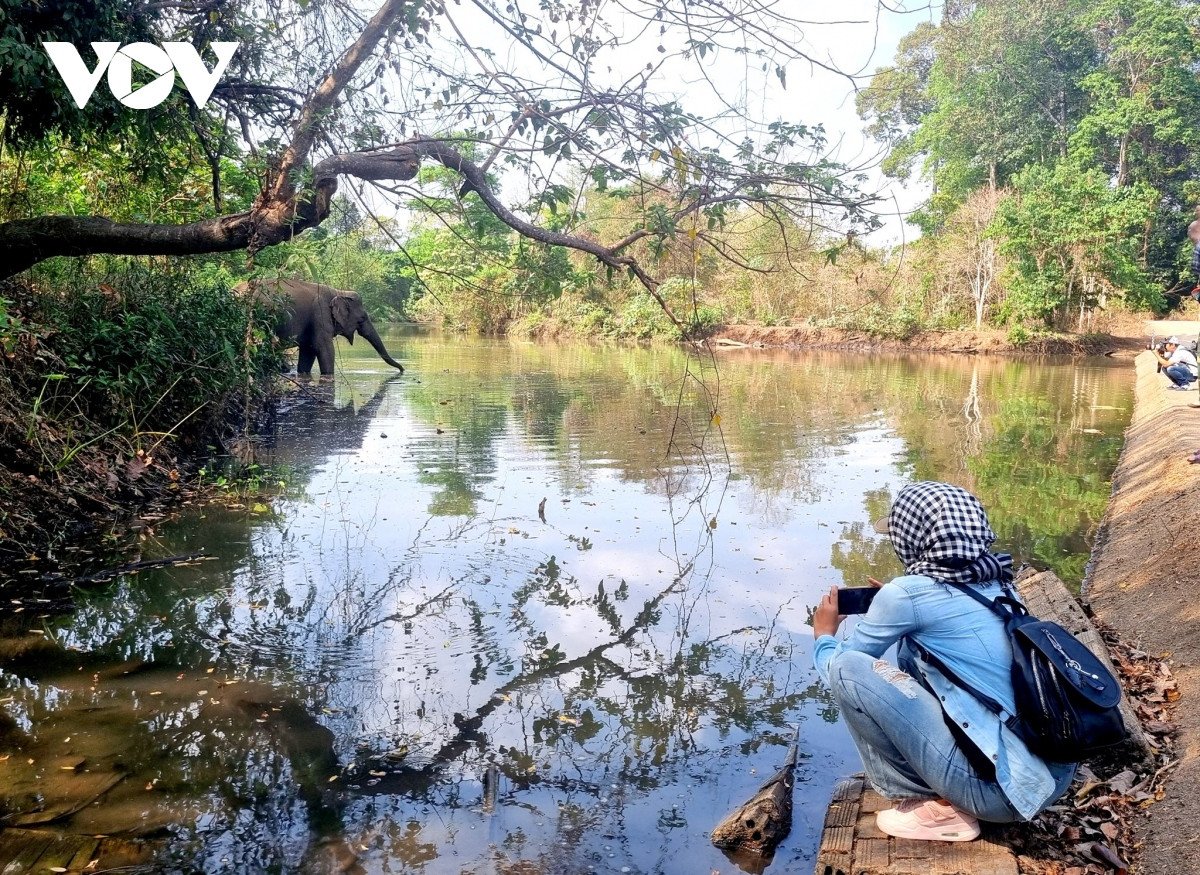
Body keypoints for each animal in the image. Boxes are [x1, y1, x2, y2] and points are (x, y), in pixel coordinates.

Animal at [241, 279, 405, 374]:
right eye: (362, 318)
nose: (402, 370)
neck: (339, 291)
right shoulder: (320, 314)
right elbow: (324, 349)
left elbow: (309, 350)